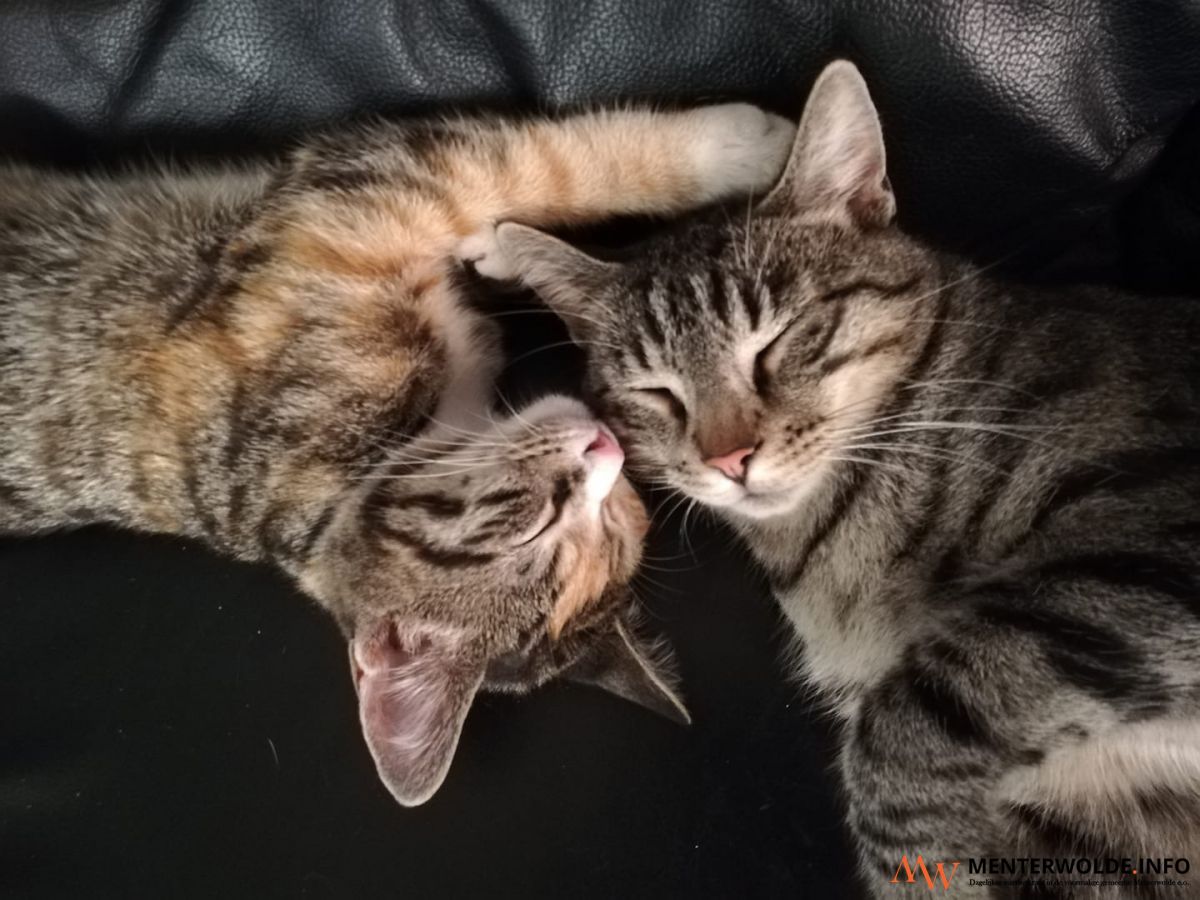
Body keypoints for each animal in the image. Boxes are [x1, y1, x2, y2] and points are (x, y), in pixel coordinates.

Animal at [0, 103, 795, 806]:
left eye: (617, 526)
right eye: (541, 526)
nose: (604, 447)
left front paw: (502, 250)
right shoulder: (350, 212)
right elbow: (540, 162)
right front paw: (743, 145)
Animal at [489, 62, 1200, 898]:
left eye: (777, 343)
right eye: (657, 392)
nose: (730, 460)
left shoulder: (1146, 541)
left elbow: (909, 723)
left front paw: (918, 867)